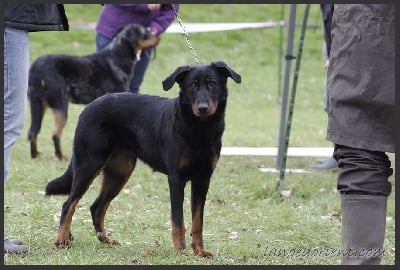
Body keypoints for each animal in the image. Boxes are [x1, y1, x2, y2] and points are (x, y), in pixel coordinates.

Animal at [27, 23, 159, 160]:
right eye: (147, 32)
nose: (158, 38)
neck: (118, 56)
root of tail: (37, 67)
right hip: (60, 105)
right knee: (55, 134)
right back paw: (61, 156)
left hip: (37, 104)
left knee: (33, 131)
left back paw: (35, 154)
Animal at [45, 61, 242, 258]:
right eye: (192, 85)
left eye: (212, 83)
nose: (202, 108)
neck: (199, 129)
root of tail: (89, 106)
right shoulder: (176, 179)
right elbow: (178, 220)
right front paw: (180, 249)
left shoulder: (203, 179)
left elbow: (197, 221)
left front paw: (199, 250)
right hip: (89, 165)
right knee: (68, 204)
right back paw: (62, 239)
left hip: (120, 173)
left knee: (97, 207)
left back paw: (105, 239)